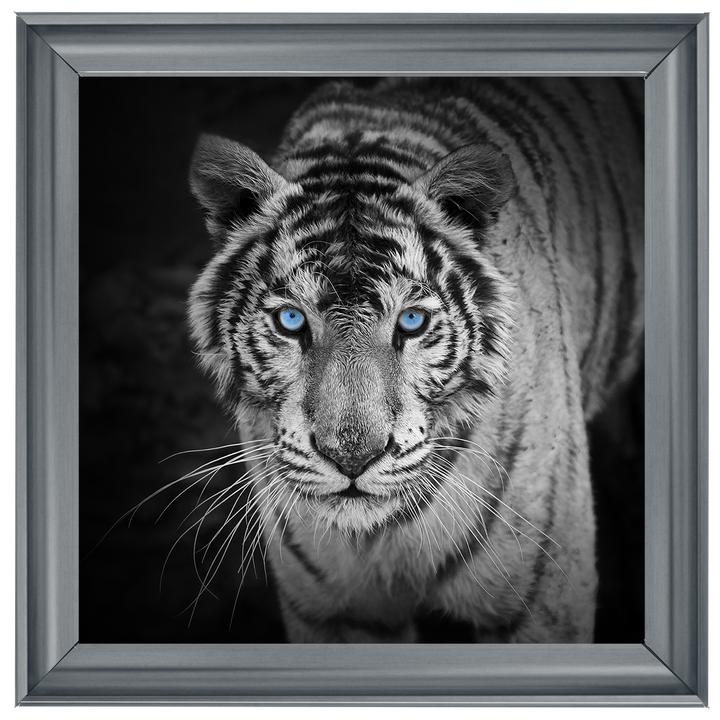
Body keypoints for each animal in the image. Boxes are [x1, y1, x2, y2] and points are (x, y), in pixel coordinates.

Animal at [186, 77, 644, 643]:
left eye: (411, 321)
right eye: (292, 320)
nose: (352, 459)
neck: (379, 535)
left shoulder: (541, 602)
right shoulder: (334, 612)